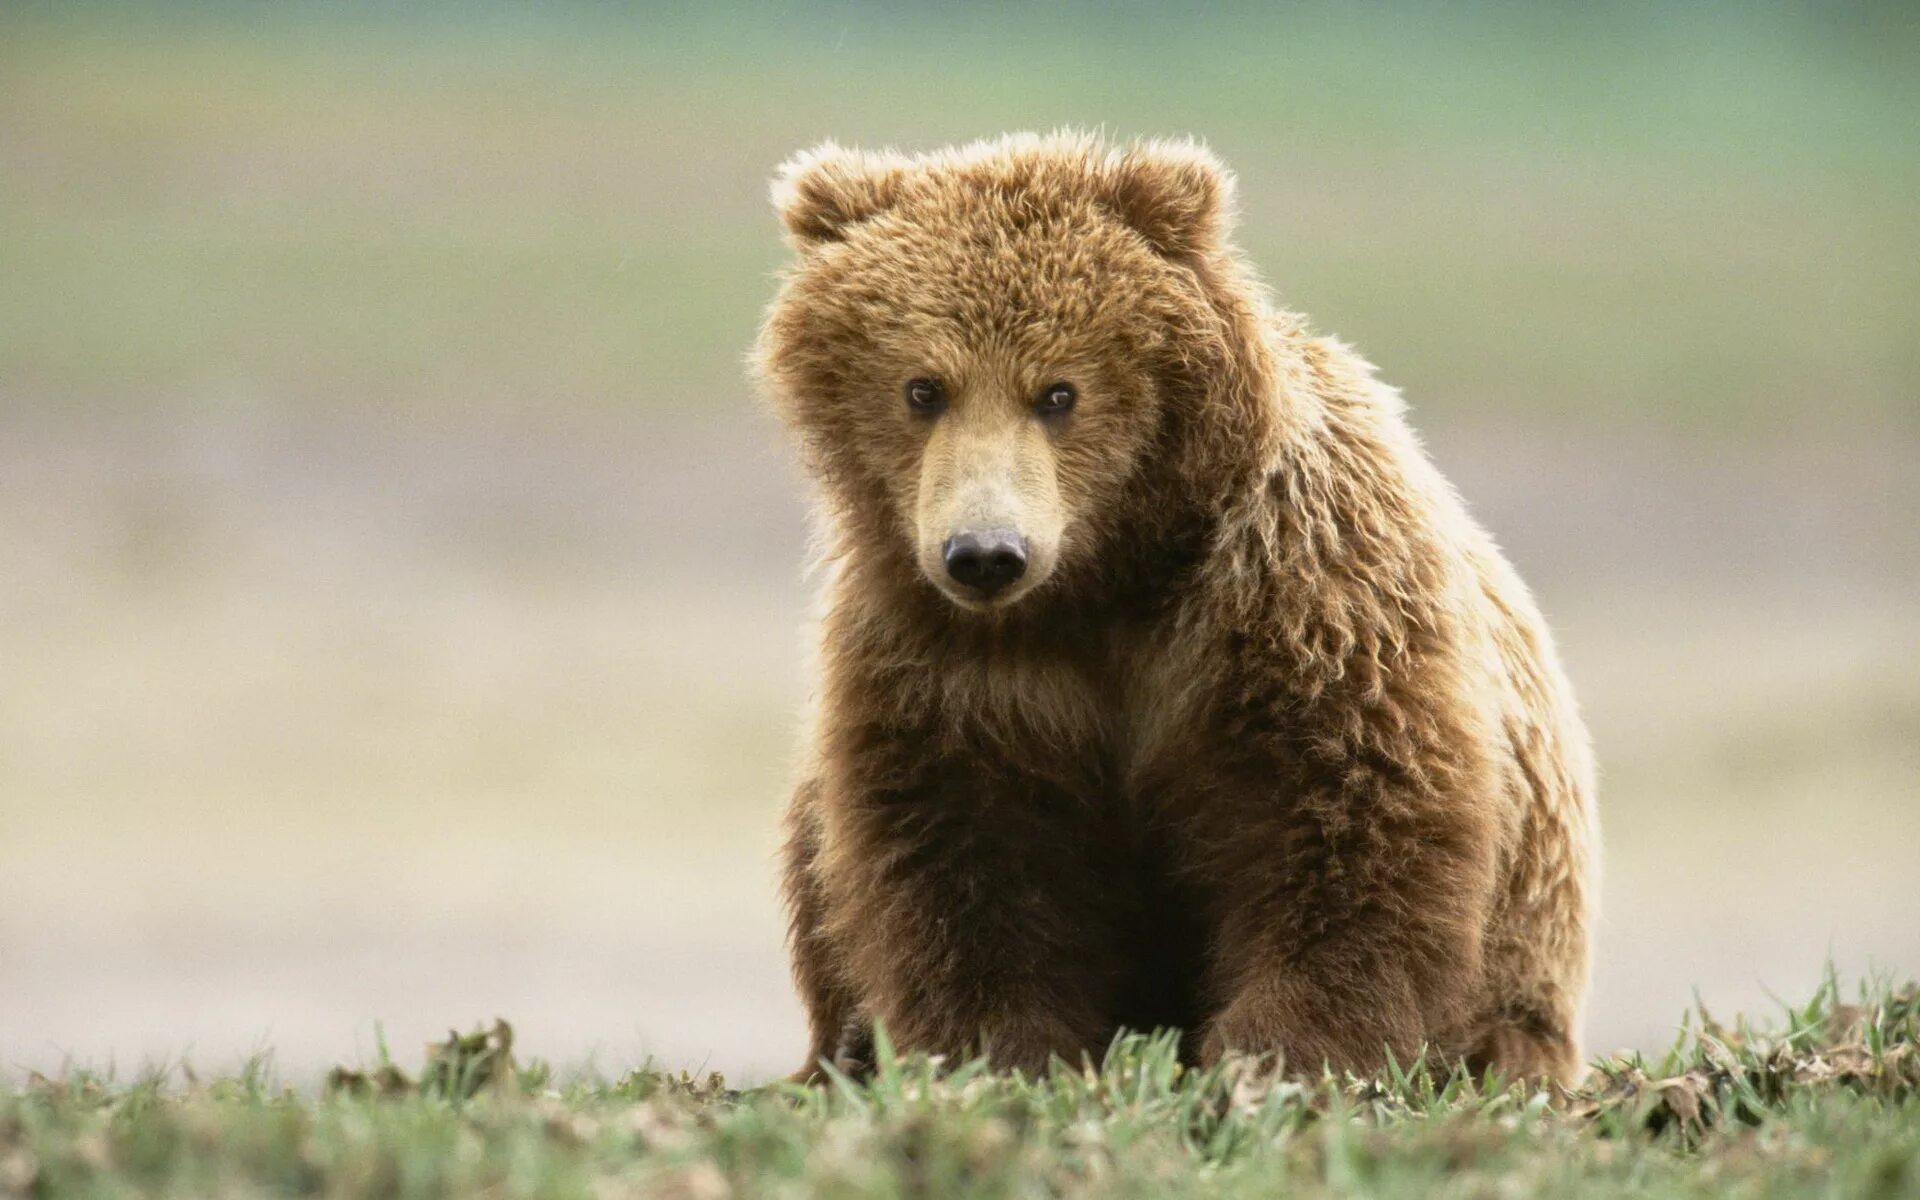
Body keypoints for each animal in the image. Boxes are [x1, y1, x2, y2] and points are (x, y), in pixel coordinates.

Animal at [756, 130, 1597, 1082]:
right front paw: (1000, 1048)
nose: (986, 554)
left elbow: (1351, 818)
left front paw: (1278, 1052)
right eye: (922, 388)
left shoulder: (1299, 592)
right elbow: (961, 848)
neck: (1109, 577)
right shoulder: (947, 657)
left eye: (1059, 391)